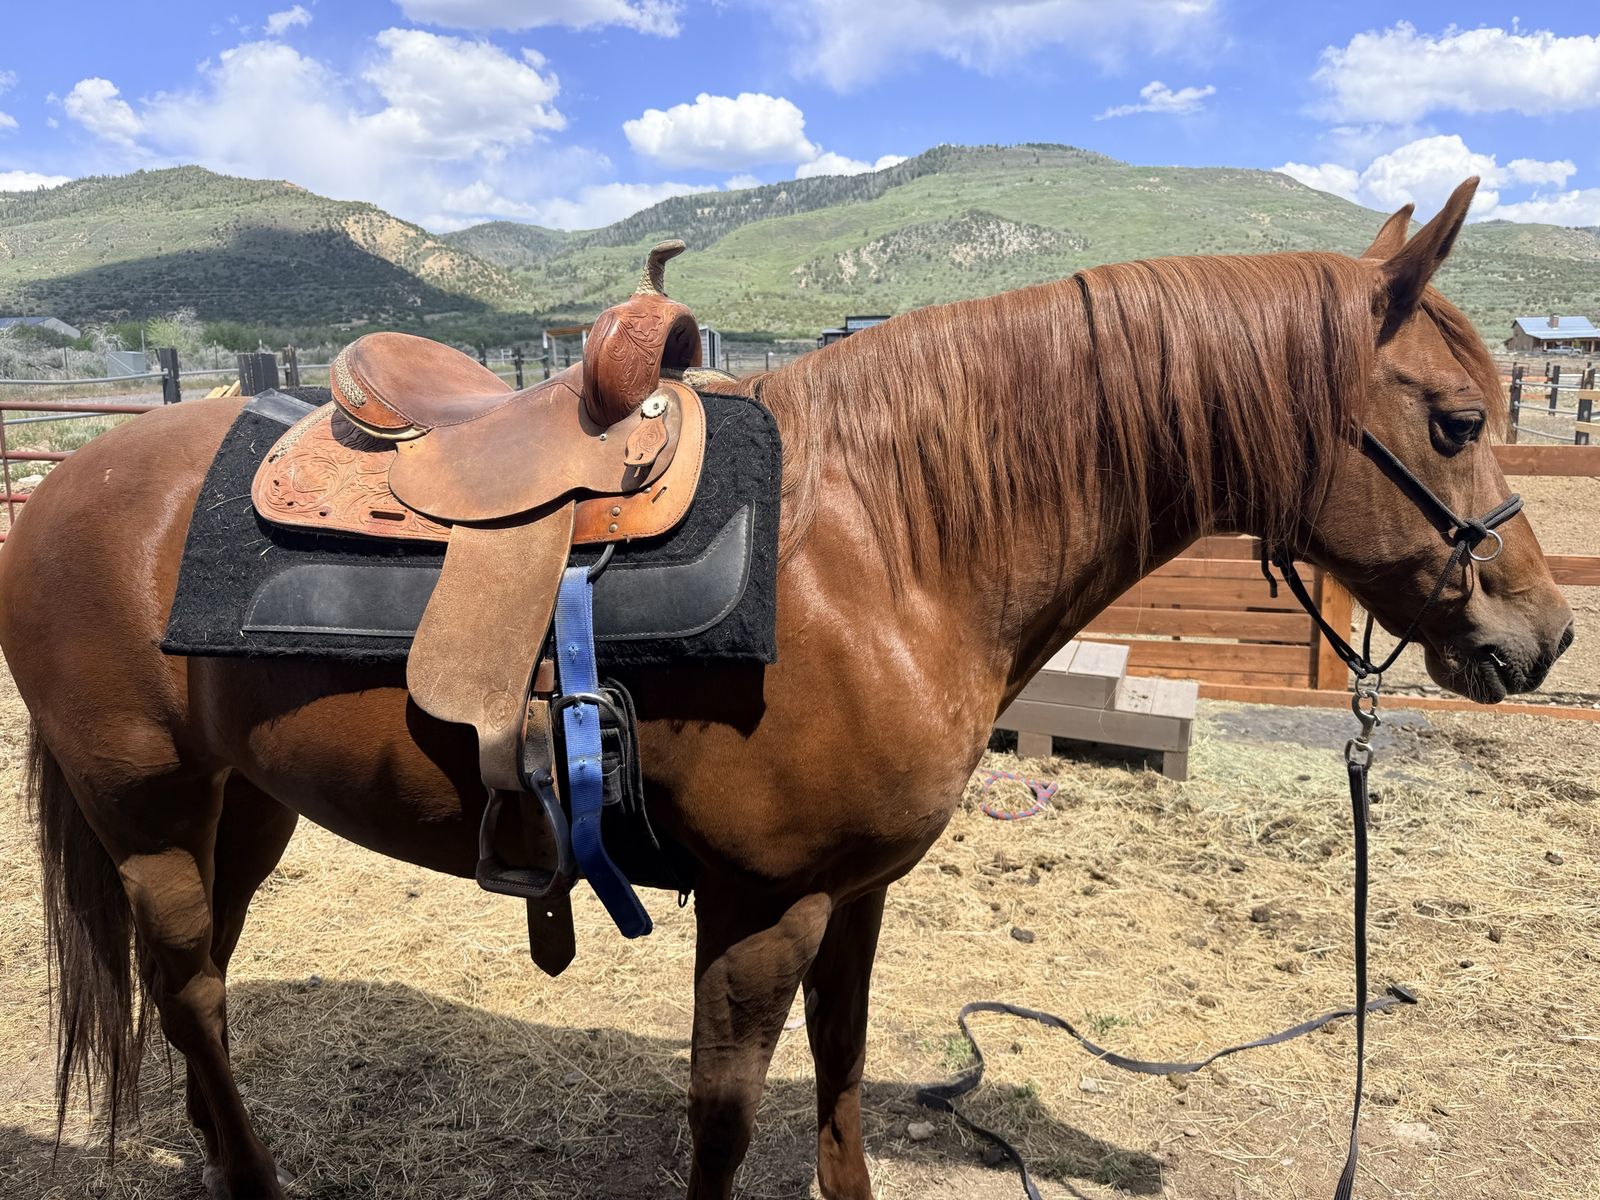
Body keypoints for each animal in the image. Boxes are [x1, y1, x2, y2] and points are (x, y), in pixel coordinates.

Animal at [0, 177, 1573, 1200]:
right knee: (186, 990)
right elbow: (726, 1117)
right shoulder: (760, 908)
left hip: (243, 806)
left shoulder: (852, 896)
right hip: (147, 811)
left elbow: (844, 1075)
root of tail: (63, 484)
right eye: (1454, 421)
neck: (886, 543)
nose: (1544, 636)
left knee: (193, 991)